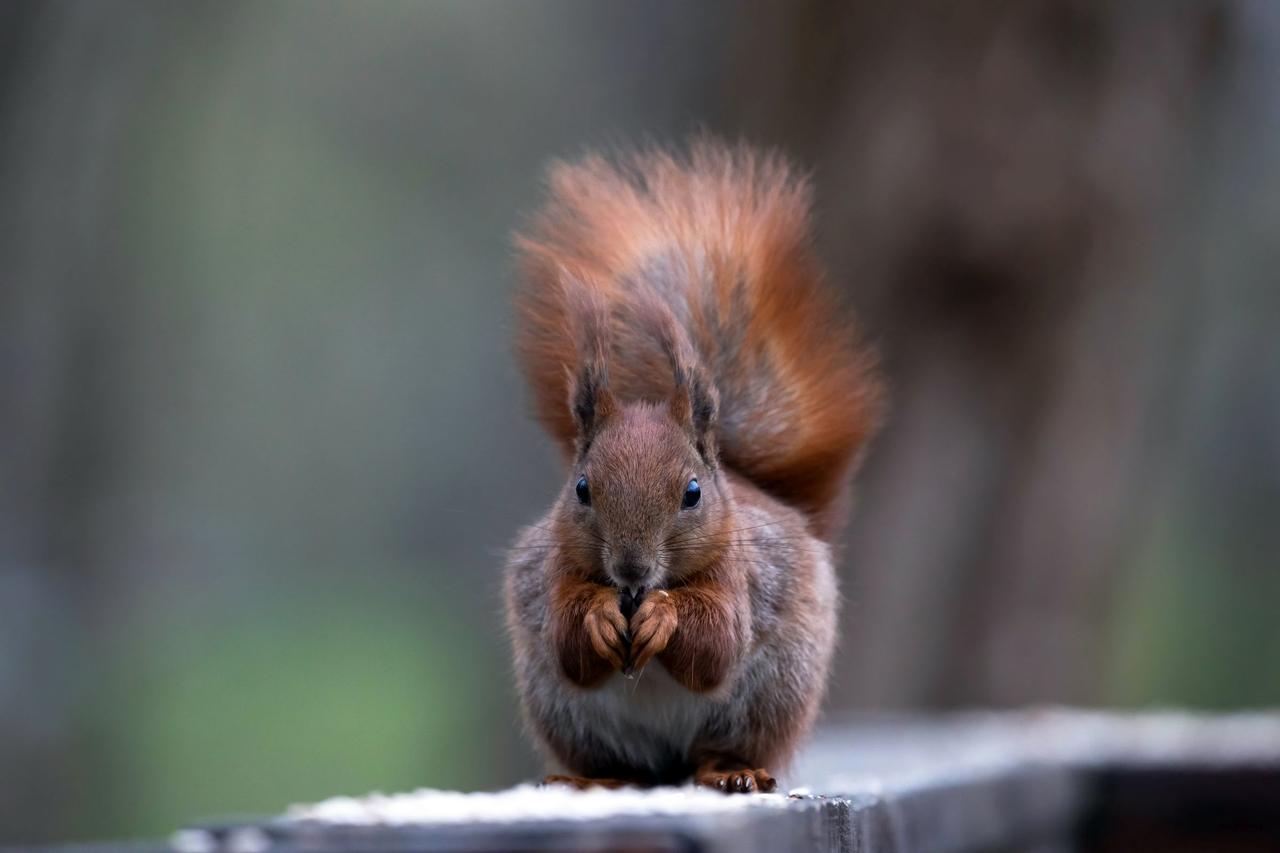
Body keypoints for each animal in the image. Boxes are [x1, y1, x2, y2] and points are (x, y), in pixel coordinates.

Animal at [499, 139, 880, 788]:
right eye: (581, 488)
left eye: (693, 493)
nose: (630, 571)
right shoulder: (553, 570)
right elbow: (569, 644)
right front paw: (599, 616)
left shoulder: (738, 574)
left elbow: (717, 642)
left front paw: (664, 616)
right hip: (563, 710)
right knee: (617, 759)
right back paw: (593, 778)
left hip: (768, 697)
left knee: (718, 746)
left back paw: (731, 772)